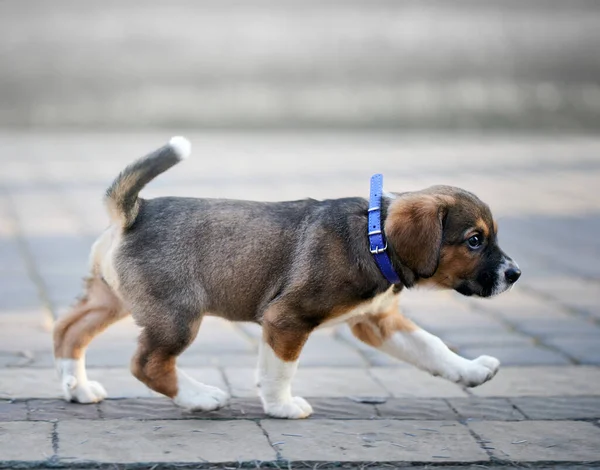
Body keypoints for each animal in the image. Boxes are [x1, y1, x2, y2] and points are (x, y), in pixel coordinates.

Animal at [52, 137, 520, 418]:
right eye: (475, 240)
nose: (515, 274)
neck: (375, 238)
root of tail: (134, 212)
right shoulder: (287, 320)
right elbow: (280, 370)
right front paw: (282, 407)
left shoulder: (376, 320)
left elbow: (431, 347)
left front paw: (471, 372)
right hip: (176, 316)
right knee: (147, 363)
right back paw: (200, 396)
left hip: (110, 300)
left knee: (68, 330)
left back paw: (77, 387)